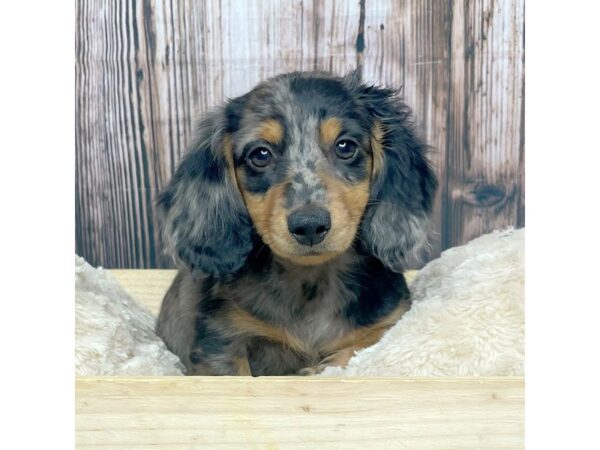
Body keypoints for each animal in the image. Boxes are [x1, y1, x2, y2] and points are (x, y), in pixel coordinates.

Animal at [155, 70, 436, 374]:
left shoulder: (382, 330)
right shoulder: (222, 342)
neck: (311, 281)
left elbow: (345, 357)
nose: (309, 225)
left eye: (345, 146)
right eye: (260, 154)